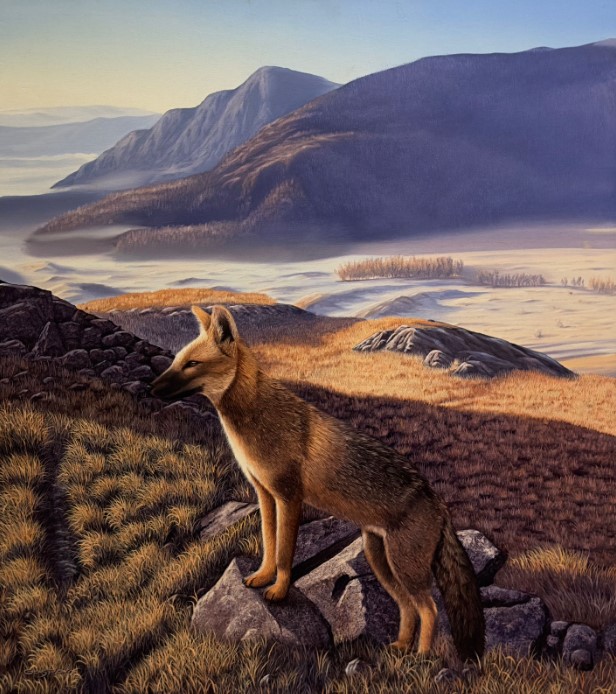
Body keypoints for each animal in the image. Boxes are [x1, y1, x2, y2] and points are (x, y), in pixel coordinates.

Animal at [151, 305, 485, 661]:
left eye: (192, 363)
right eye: (177, 360)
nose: (153, 388)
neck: (254, 421)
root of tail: (436, 499)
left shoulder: (289, 497)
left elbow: (284, 553)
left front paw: (279, 591)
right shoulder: (265, 495)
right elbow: (269, 545)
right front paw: (262, 577)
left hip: (404, 566)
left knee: (429, 608)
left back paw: (421, 659)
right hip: (381, 562)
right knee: (409, 607)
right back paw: (400, 648)